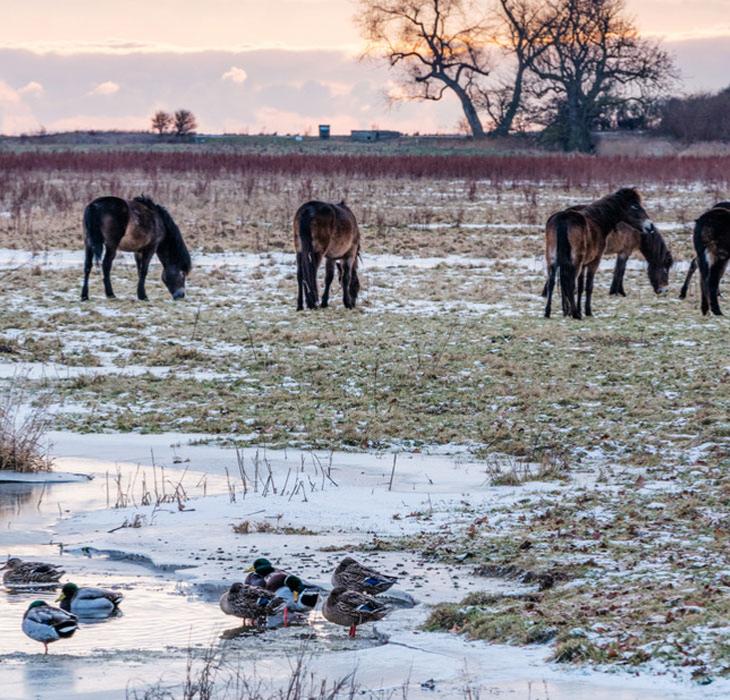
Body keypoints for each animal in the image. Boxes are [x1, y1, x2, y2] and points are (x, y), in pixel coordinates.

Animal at [540, 186, 656, 318]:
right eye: (634, 206)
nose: (650, 226)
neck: (597, 220)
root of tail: (563, 220)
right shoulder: (594, 261)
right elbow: (588, 286)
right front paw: (587, 311)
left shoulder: (584, 264)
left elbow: (581, 287)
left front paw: (578, 309)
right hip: (575, 262)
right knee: (569, 283)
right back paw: (575, 314)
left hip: (552, 259)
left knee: (552, 282)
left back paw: (549, 312)